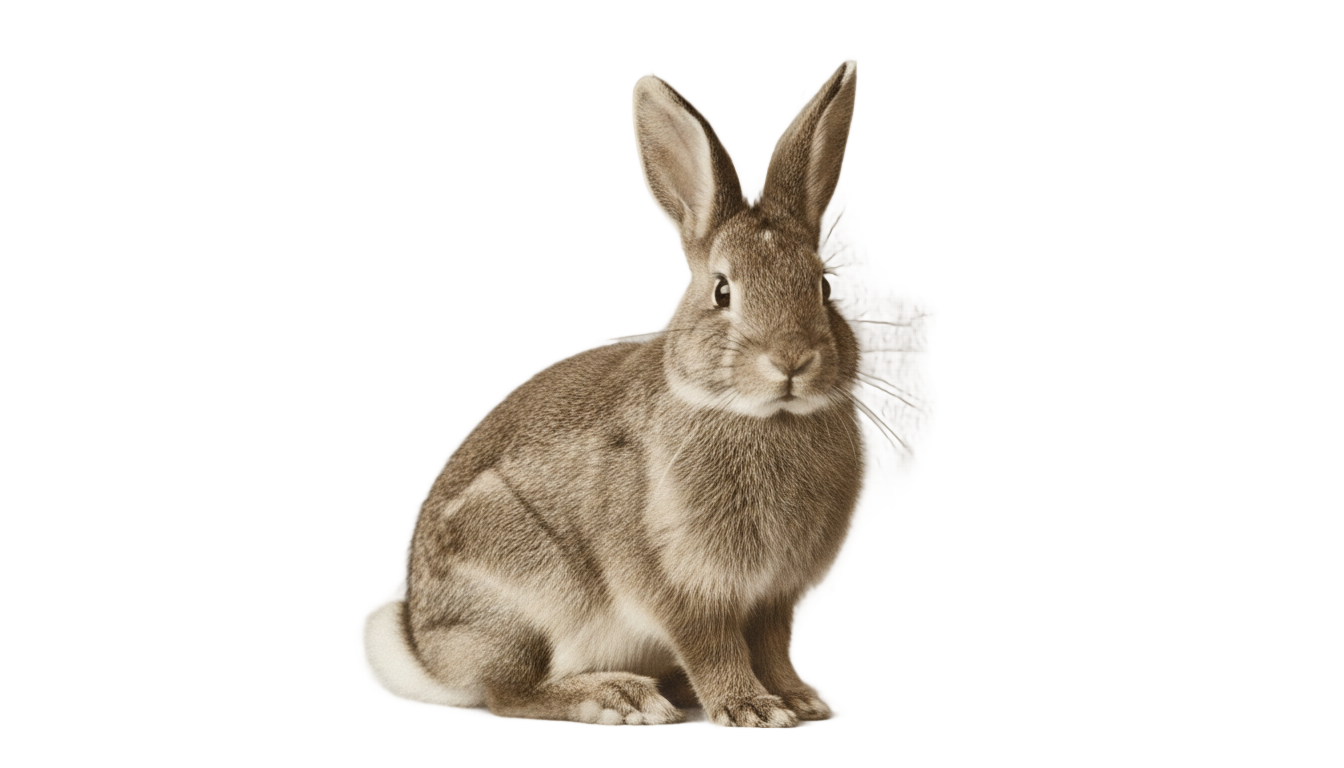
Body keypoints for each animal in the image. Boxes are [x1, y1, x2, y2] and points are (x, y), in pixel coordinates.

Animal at [364, 60, 862, 727]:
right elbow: (713, 648)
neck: (762, 416)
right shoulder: (680, 588)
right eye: (722, 291)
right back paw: (617, 696)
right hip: (530, 601)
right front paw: (749, 709)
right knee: (506, 695)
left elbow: (772, 646)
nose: (792, 360)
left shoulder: (773, 597)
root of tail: (427, 652)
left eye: (824, 285)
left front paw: (799, 700)